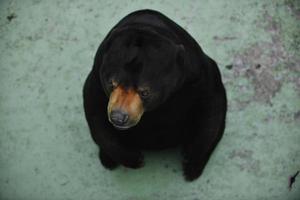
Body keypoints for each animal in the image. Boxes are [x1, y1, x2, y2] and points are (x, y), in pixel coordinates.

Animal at [82, 9, 227, 181]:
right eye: (112, 84)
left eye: (145, 92)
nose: (118, 117)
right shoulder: (97, 75)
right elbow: (94, 111)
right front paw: (133, 158)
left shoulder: (195, 73)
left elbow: (211, 102)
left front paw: (191, 158)